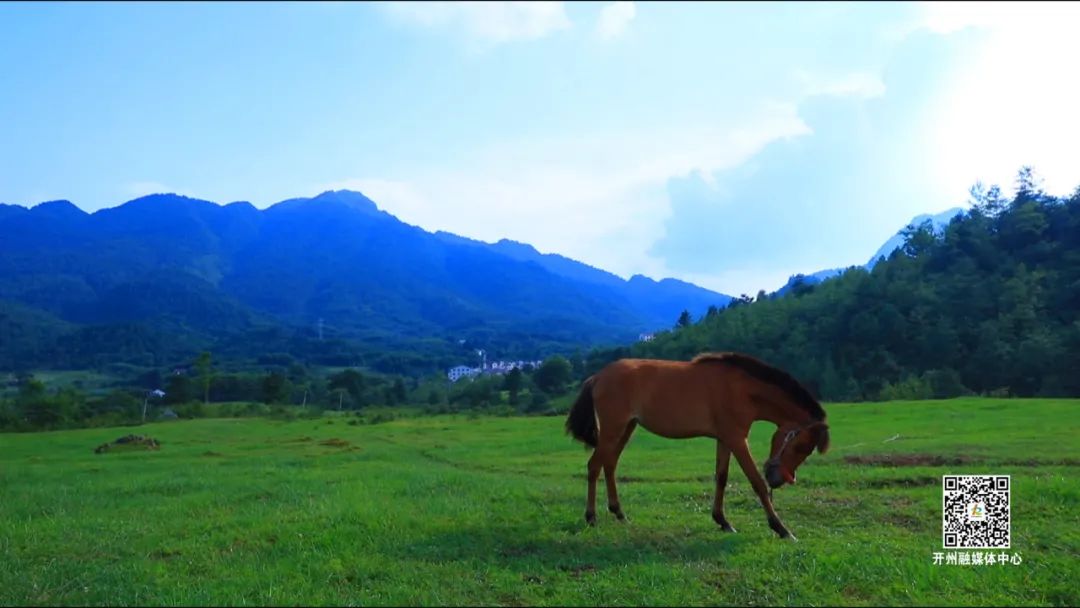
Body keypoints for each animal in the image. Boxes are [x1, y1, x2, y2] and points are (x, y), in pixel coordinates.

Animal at [561, 354, 829, 539]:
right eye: (801, 447)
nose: (778, 480)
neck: (742, 390)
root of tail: (598, 376)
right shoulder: (737, 439)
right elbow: (756, 482)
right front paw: (781, 528)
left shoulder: (725, 439)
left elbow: (721, 478)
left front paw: (722, 521)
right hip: (613, 429)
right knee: (594, 466)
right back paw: (591, 517)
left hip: (626, 428)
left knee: (609, 464)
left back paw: (619, 513)